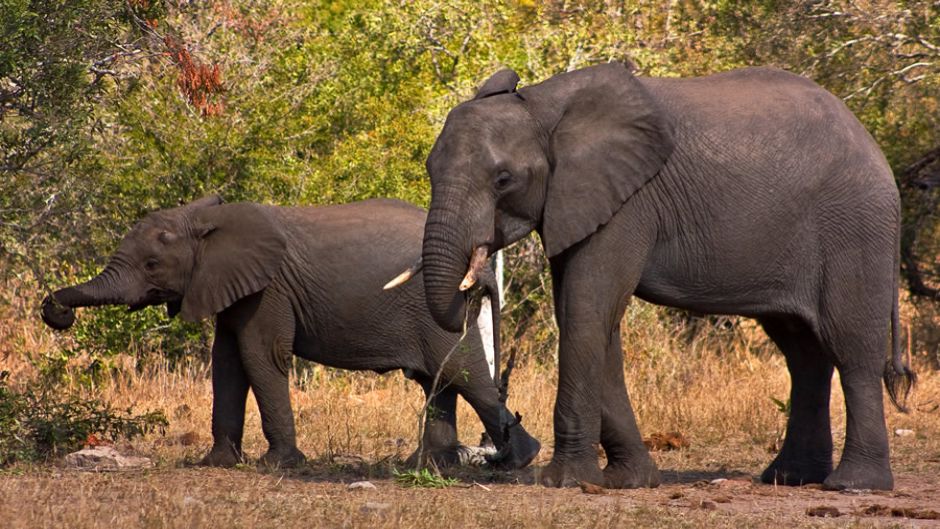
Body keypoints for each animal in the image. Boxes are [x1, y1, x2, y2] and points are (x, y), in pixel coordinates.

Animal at [40, 196, 540, 468]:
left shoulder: (270, 289)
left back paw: (520, 459)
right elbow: (226, 364)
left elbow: (261, 356)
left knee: (462, 372)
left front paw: (276, 463)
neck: (203, 223)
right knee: (438, 380)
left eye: (151, 264)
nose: (54, 309)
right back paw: (428, 465)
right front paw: (218, 463)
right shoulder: (233, 289)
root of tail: (480, 258)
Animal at [402, 63, 912, 490]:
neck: (543, 108)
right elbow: (592, 318)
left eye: (503, 180)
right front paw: (630, 481)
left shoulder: (627, 204)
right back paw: (790, 479)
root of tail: (874, 147)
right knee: (803, 353)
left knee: (851, 348)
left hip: (853, 228)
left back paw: (853, 485)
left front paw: (565, 482)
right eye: (428, 169)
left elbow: (587, 312)